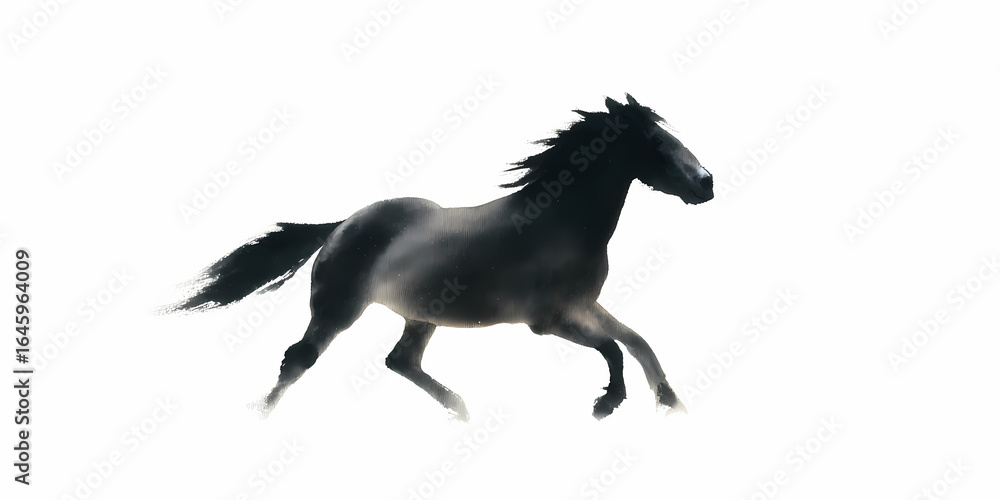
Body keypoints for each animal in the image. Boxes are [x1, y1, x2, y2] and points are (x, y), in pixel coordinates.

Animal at [166, 94, 714, 421]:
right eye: (656, 141)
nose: (706, 183)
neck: (558, 224)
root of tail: (341, 226)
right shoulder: (548, 320)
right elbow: (614, 348)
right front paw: (608, 404)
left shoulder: (583, 306)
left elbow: (638, 342)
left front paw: (671, 403)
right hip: (339, 309)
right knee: (300, 359)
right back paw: (261, 416)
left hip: (422, 314)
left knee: (400, 361)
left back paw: (460, 410)